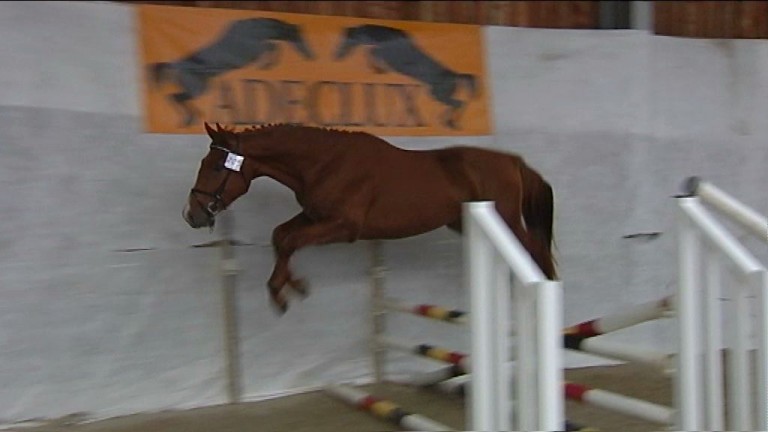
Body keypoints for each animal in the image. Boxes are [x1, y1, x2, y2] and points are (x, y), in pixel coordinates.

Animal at [183, 123, 557, 314]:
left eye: (215, 167)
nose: (192, 214)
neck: (325, 162)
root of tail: (513, 162)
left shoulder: (345, 226)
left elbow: (290, 241)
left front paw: (280, 292)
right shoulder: (315, 216)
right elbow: (281, 236)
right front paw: (296, 285)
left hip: (505, 221)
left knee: (534, 251)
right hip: (466, 223)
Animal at [334, 25, 477, 130]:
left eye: (346, 40)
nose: (335, 56)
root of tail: (454, 75)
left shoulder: (385, 53)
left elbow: (372, 51)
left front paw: (379, 69)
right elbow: (370, 51)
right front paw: (378, 69)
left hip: (438, 94)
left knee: (458, 103)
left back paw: (451, 123)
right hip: (438, 94)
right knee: (457, 103)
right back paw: (446, 121)